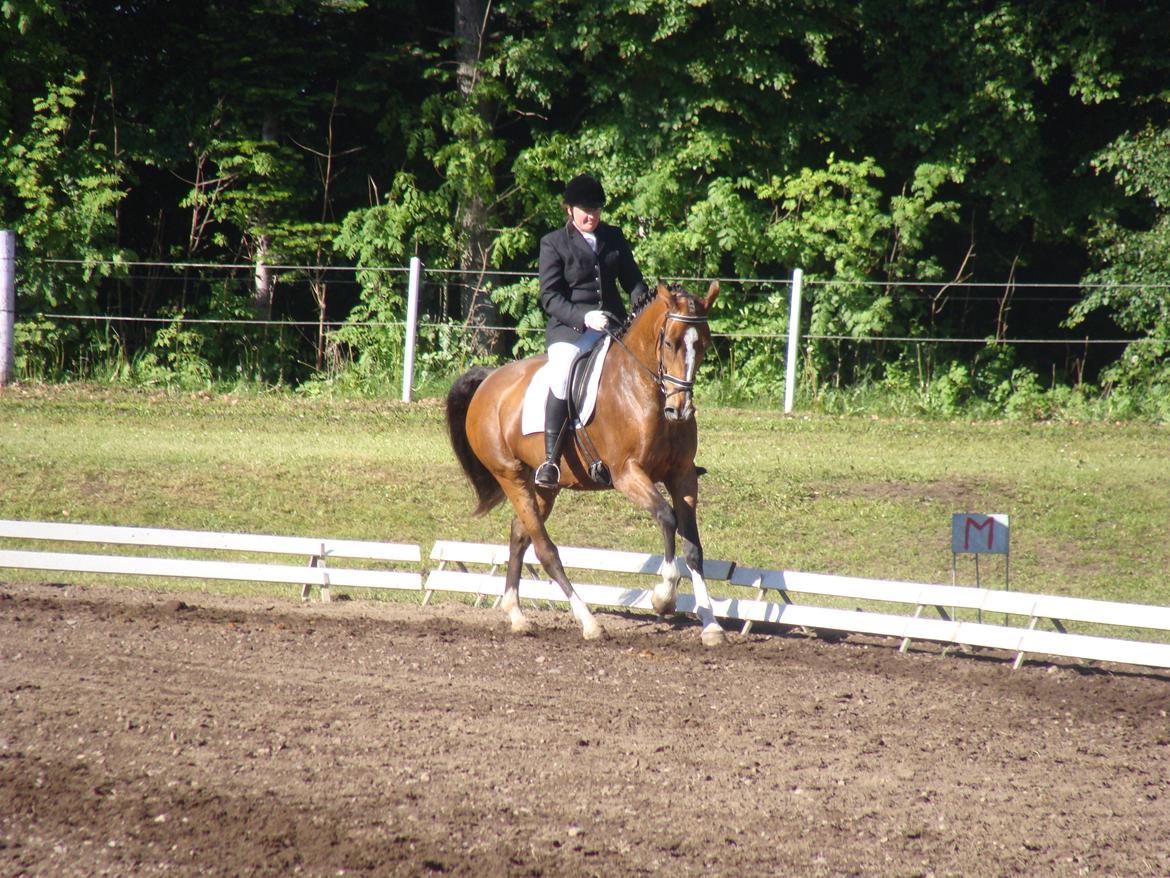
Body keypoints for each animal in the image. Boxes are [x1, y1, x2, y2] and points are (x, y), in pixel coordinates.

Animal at [444, 279, 725, 646]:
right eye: (669, 342)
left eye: (703, 344)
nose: (679, 410)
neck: (641, 387)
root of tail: (490, 380)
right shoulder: (627, 474)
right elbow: (666, 517)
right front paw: (664, 597)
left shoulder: (682, 476)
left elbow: (693, 546)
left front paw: (711, 625)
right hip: (510, 475)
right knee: (545, 549)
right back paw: (588, 621)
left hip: (542, 485)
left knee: (520, 533)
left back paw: (517, 614)